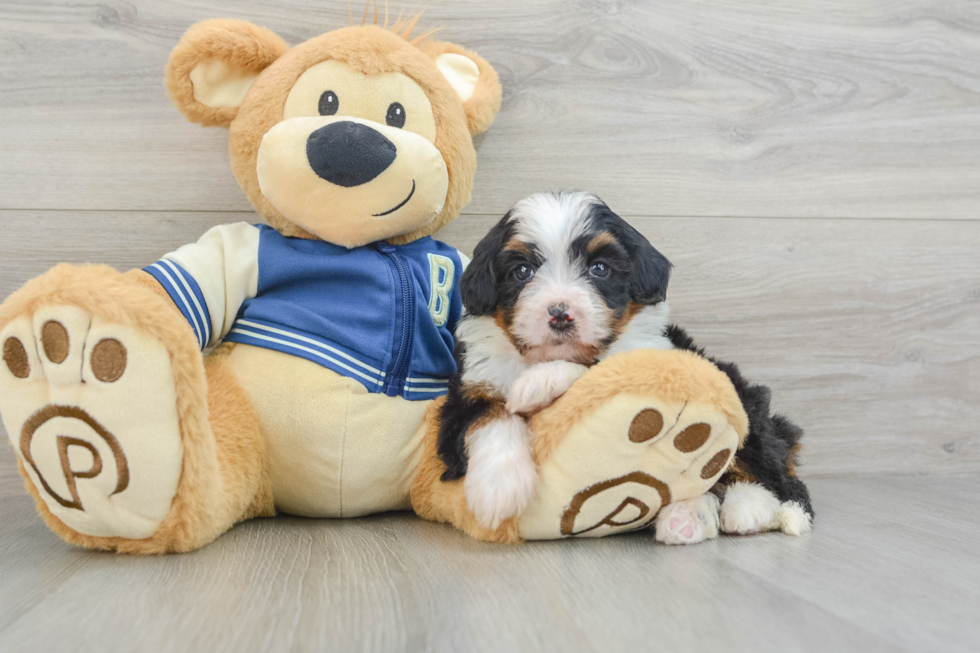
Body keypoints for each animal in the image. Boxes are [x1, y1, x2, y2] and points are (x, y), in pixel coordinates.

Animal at [440, 190, 816, 544]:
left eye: (599, 268)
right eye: (522, 272)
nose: (560, 313)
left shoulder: (649, 358)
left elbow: (598, 369)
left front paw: (540, 382)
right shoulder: (470, 386)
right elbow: (489, 415)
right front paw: (498, 487)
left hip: (741, 404)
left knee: (778, 478)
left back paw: (746, 508)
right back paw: (688, 518)